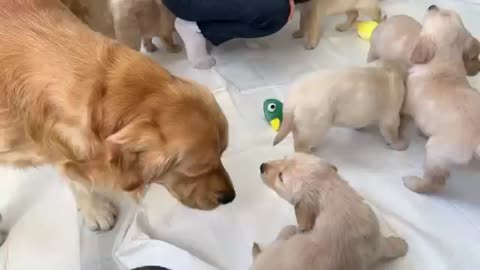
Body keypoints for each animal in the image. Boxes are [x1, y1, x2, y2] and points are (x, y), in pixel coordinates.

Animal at [251, 154, 408, 270]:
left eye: (281, 177)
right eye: (283, 158)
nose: (261, 166)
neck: (332, 194)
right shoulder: (375, 241)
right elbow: (388, 245)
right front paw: (401, 245)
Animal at [274, 60, 408, 154]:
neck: (388, 68)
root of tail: (292, 98)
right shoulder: (390, 118)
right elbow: (392, 133)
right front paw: (400, 144)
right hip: (315, 126)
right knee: (301, 146)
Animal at [404, 4, 480, 194]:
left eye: (442, 13)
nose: (432, 5)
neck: (444, 67)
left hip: (436, 151)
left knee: (436, 181)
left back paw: (413, 183)